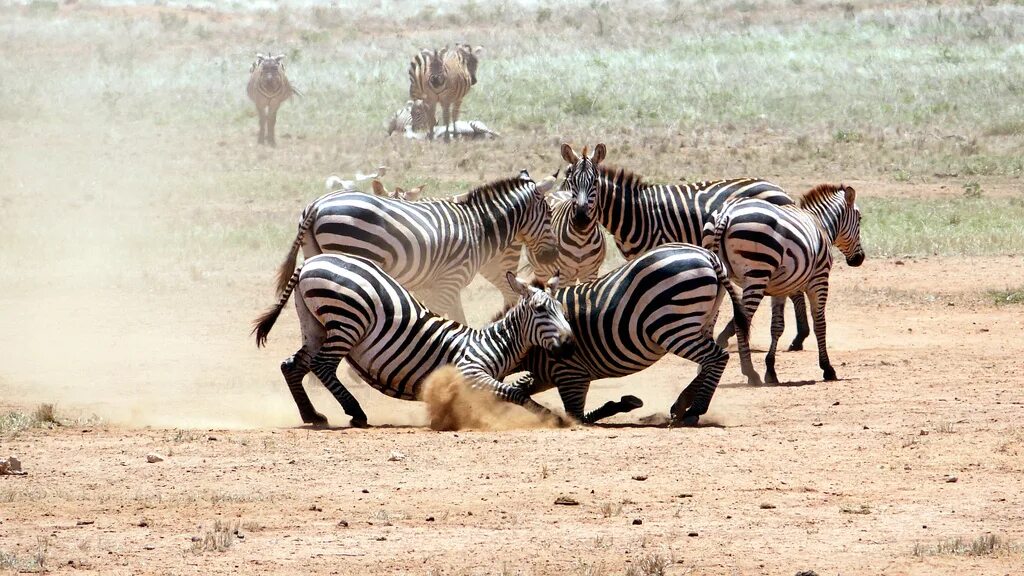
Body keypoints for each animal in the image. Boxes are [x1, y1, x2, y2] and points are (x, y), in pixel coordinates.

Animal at [252, 252, 577, 426]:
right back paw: (356, 412)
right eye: (541, 310)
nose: (570, 345)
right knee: (322, 366)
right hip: (348, 321)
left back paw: (311, 415)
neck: (491, 344)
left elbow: (505, 395)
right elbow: (515, 393)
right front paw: (554, 418)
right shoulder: (469, 371)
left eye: (562, 310)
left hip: (314, 323)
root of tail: (312, 261)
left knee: (292, 365)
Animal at [268, 169, 557, 323]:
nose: (551, 257)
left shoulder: (439, 285)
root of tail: (317, 205)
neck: (477, 225)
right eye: (549, 214)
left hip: (315, 255)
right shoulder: (449, 282)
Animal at [507, 241, 749, 426]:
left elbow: (576, 416)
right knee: (709, 361)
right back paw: (681, 404)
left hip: (672, 328)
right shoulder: (546, 375)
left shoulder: (571, 374)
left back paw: (694, 410)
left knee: (717, 357)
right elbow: (518, 389)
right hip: (702, 322)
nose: (568, 347)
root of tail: (708, 256)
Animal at [557, 142, 811, 350]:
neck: (636, 213)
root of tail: (779, 188)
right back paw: (798, 336)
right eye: (570, 183)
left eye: (594, 183)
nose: (580, 219)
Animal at [704, 181, 864, 383]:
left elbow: (777, 327)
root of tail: (726, 213)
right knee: (743, 323)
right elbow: (820, 323)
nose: (859, 259)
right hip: (757, 273)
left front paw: (771, 370)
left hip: (720, 273)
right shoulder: (819, 279)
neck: (821, 225)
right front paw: (827, 368)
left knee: (711, 320)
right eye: (859, 219)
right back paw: (750, 372)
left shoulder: (780, 288)